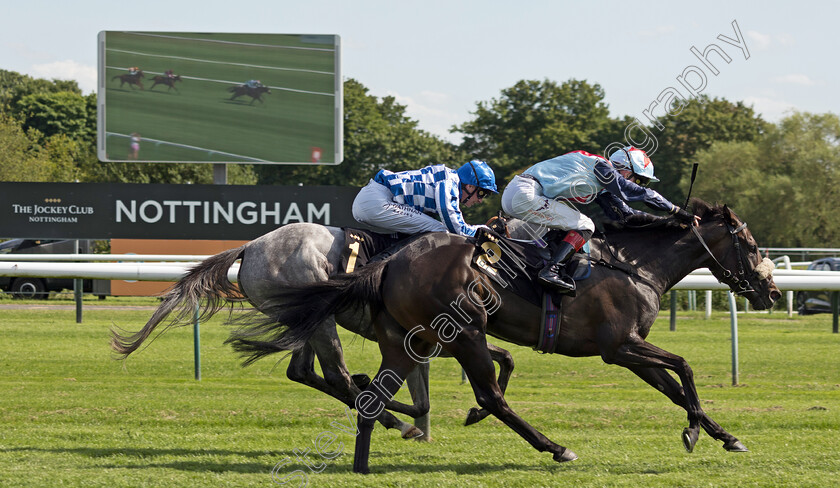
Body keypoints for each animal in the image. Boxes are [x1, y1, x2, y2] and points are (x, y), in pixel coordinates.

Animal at [228, 199, 780, 472]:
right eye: (751, 245)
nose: (771, 291)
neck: (633, 265)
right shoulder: (618, 346)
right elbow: (684, 366)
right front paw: (696, 431)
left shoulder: (630, 352)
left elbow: (676, 386)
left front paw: (721, 434)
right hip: (460, 332)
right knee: (487, 396)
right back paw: (554, 448)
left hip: (407, 339)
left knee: (364, 392)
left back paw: (372, 454)